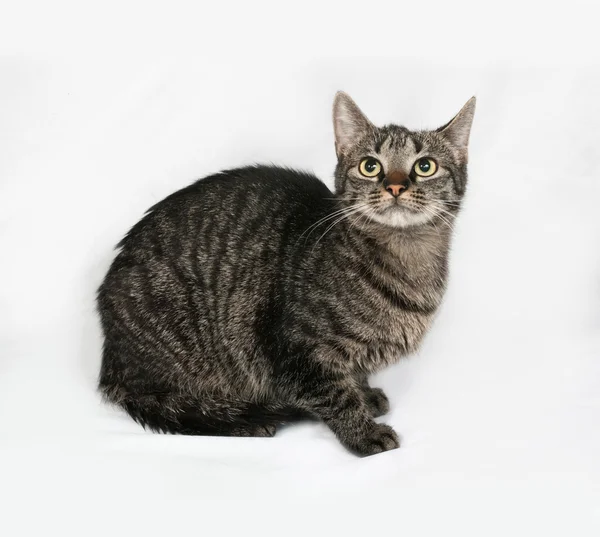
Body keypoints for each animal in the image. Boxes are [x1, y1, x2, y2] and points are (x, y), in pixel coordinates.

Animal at [97, 92, 474, 456]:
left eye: (425, 166)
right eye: (370, 166)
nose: (395, 186)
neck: (407, 260)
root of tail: (111, 359)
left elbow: (353, 375)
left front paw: (365, 395)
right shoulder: (296, 352)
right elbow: (335, 395)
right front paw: (362, 431)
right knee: (178, 407)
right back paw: (245, 421)